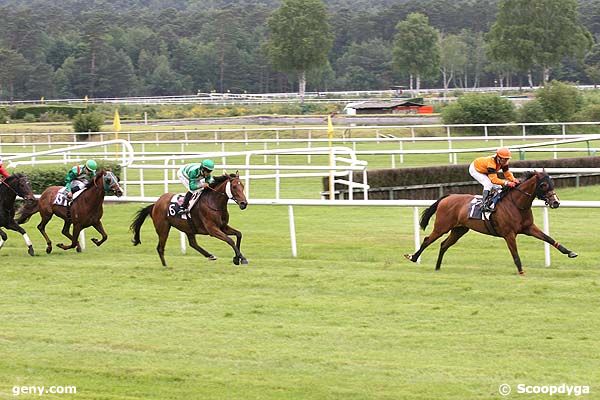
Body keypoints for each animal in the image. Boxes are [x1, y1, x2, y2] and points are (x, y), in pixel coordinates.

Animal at [406, 172, 580, 276]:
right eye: (543, 185)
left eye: (552, 183)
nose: (556, 202)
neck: (517, 204)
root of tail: (447, 197)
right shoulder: (509, 234)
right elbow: (515, 254)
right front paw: (521, 271)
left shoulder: (529, 228)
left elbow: (548, 238)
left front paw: (570, 252)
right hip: (442, 226)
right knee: (427, 240)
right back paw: (413, 257)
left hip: (459, 230)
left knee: (444, 244)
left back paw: (437, 267)